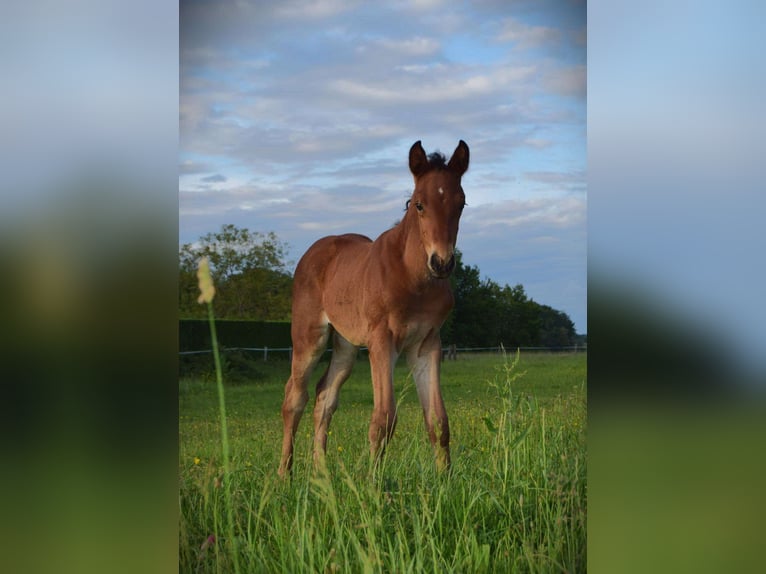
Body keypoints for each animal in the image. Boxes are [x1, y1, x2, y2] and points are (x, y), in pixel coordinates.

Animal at [276, 142, 468, 480]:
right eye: (419, 205)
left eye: (461, 203)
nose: (442, 263)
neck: (414, 279)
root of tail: (315, 250)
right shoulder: (382, 340)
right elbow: (384, 418)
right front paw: (373, 483)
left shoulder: (427, 344)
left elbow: (438, 419)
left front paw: (445, 480)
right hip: (309, 337)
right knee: (295, 398)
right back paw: (284, 475)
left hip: (346, 344)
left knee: (325, 396)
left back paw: (321, 474)